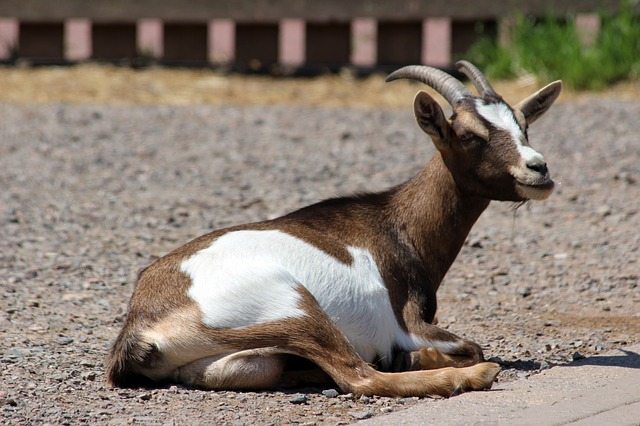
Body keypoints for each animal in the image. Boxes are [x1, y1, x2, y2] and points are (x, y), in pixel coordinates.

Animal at [106, 61, 562, 397]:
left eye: (523, 125)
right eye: (469, 135)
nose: (538, 168)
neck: (394, 222)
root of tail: (141, 327)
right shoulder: (409, 323)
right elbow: (471, 346)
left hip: (242, 360)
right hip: (295, 310)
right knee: (359, 376)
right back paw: (473, 376)